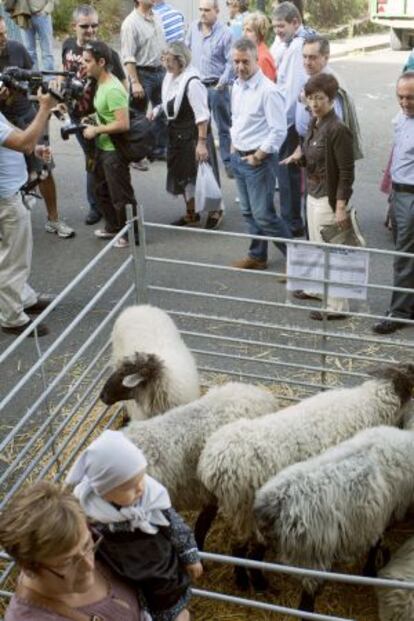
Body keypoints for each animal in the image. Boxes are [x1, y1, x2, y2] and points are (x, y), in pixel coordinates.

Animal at [196, 364, 414, 588]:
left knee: (203, 525)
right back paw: (249, 582)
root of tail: (214, 464)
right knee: (240, 547)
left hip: (222, 502)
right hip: (244, 508)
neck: (371, 402)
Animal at [256, 414, 414, 612]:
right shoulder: (385, 514)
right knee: (306, 604)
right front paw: (369, 570)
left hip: (266, 537)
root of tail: (275, 503)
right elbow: (375, 544)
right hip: (312, 557)